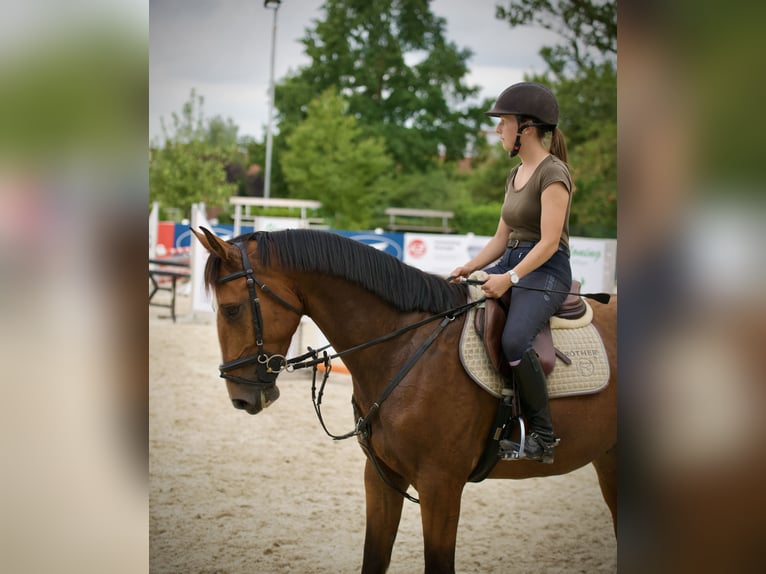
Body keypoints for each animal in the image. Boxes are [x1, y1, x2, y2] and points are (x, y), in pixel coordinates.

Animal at [192, 227, 617, 574]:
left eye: (231, 309)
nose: (241, 398)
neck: (406, 346)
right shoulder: (381, 476)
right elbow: (374, 560)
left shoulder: (441, 487)